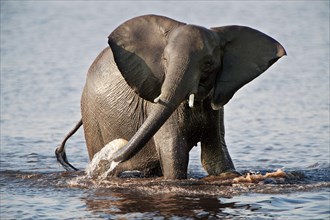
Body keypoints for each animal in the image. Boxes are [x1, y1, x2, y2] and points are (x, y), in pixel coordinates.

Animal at [54, 15, 286, 180]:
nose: (118, 146)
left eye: (208, 64)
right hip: (91, 116)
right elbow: (175, 155)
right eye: (164, 60)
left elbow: (215, 156)